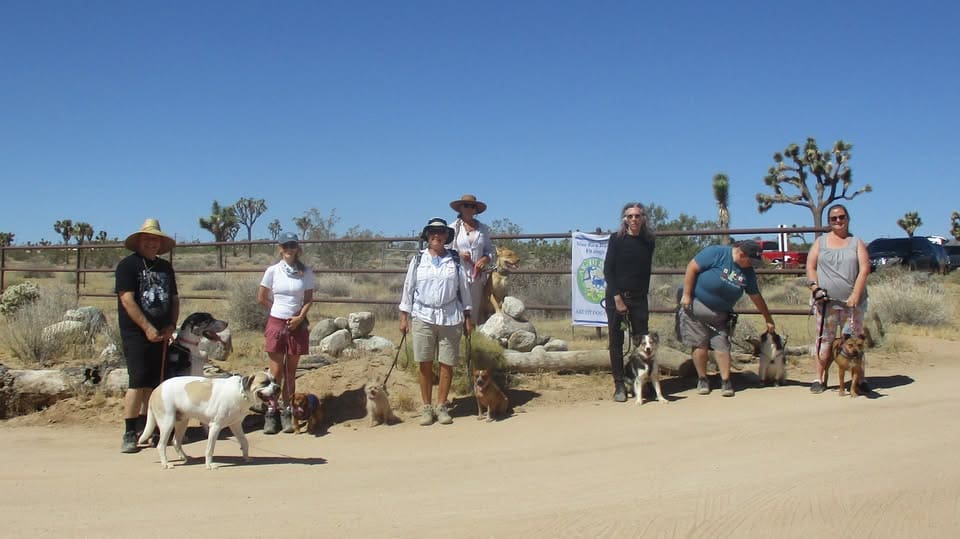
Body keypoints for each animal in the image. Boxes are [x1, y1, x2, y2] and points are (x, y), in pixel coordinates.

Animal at [139, 374, 282, 470]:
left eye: (274, 381)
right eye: (264, 382)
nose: (278, 387)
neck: (241, 392)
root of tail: (156, 389)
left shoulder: (235, 425)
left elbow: (244, 442)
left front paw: (246, 458)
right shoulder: (215, 427)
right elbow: (210, 449)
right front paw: (209, 465)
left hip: (182, 422)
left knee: (175, 442)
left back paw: (184, 458)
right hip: (167, 422)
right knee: (161, 445)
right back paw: (166, 463)